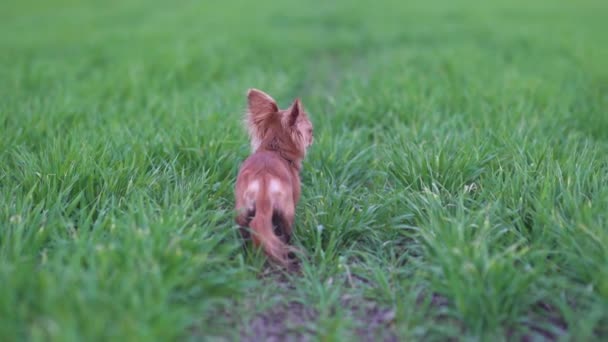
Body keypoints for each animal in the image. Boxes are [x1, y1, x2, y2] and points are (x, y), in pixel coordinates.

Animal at [235, 89, 314, 266]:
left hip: (242, 212)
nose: (313, 138)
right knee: (285, 236)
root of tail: (263, 183)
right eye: (310, 130)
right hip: (287, 213)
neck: (275, 149)